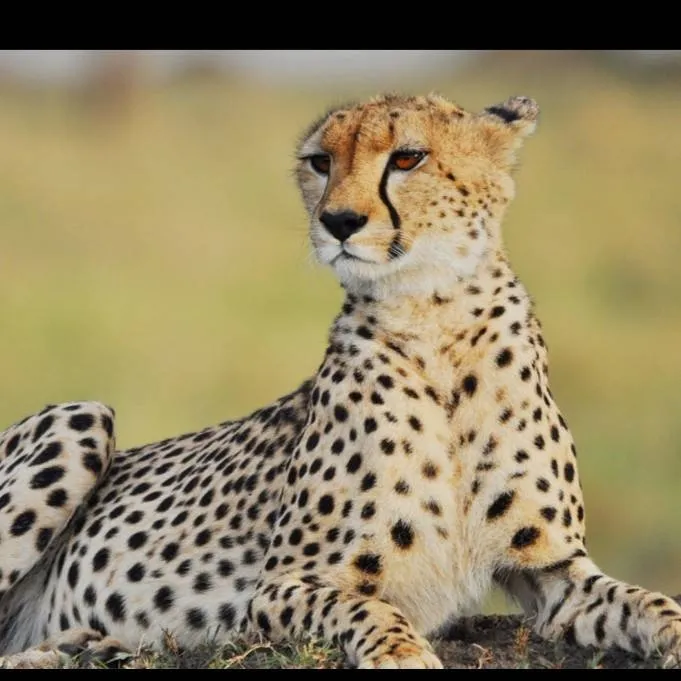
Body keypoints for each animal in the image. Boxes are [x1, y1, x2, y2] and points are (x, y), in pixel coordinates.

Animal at [0, 92, 679, 669]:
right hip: (81, 416)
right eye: (320, 162)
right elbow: (364, 606)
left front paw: (667, 626)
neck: (435, 319)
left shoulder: (553, 569)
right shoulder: (279, 585)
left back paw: (79, 644)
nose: (340, 221)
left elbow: (645, 600)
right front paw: (402, 652)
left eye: (407, 157)